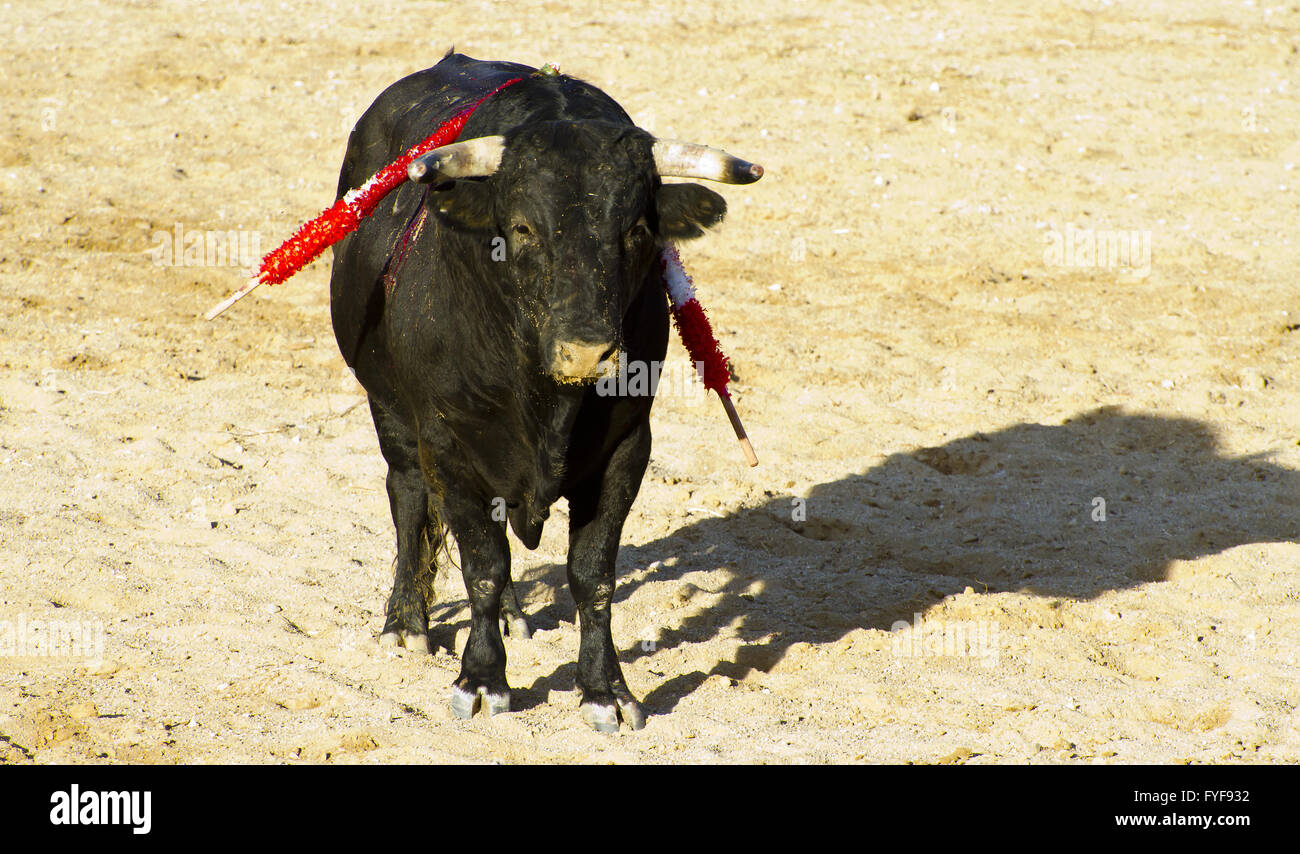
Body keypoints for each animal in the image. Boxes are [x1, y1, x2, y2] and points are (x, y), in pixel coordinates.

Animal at [327, 53, 759, 727]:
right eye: (524, 227)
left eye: (638, 230)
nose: (586, 352)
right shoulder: (447, 443)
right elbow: (482, 564)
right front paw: (481, 680)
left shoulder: (626, 449)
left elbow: (592, 575)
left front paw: (606, 690)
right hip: (388, 407)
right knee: (407, 495)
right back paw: (406, 622)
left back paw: (511, 615)